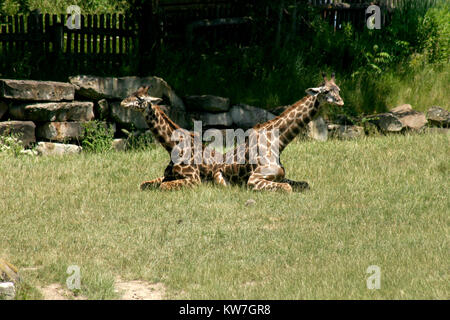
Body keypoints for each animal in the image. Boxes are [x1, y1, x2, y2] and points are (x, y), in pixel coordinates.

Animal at [121, 73, 342, 191]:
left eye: (337, 89)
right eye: (325, 91)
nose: (340, 101)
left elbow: (303, 184)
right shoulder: (252, 180)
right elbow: (147, 184)